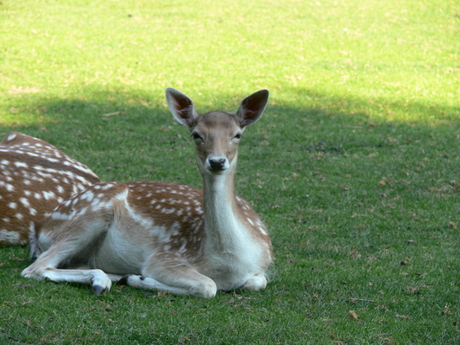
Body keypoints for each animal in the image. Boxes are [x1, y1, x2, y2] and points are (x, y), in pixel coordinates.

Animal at [21, 88, 272, 296]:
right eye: (196, 134)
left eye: (237, 134)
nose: (217, 161)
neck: (228, 262)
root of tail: (40, 227)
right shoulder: (164, 257)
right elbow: (208, 286)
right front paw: (140, 279)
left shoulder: (261, 267)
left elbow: (257, 282)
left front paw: (134, 278)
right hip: (91, 213)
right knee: (35, 268)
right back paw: (104, 281)